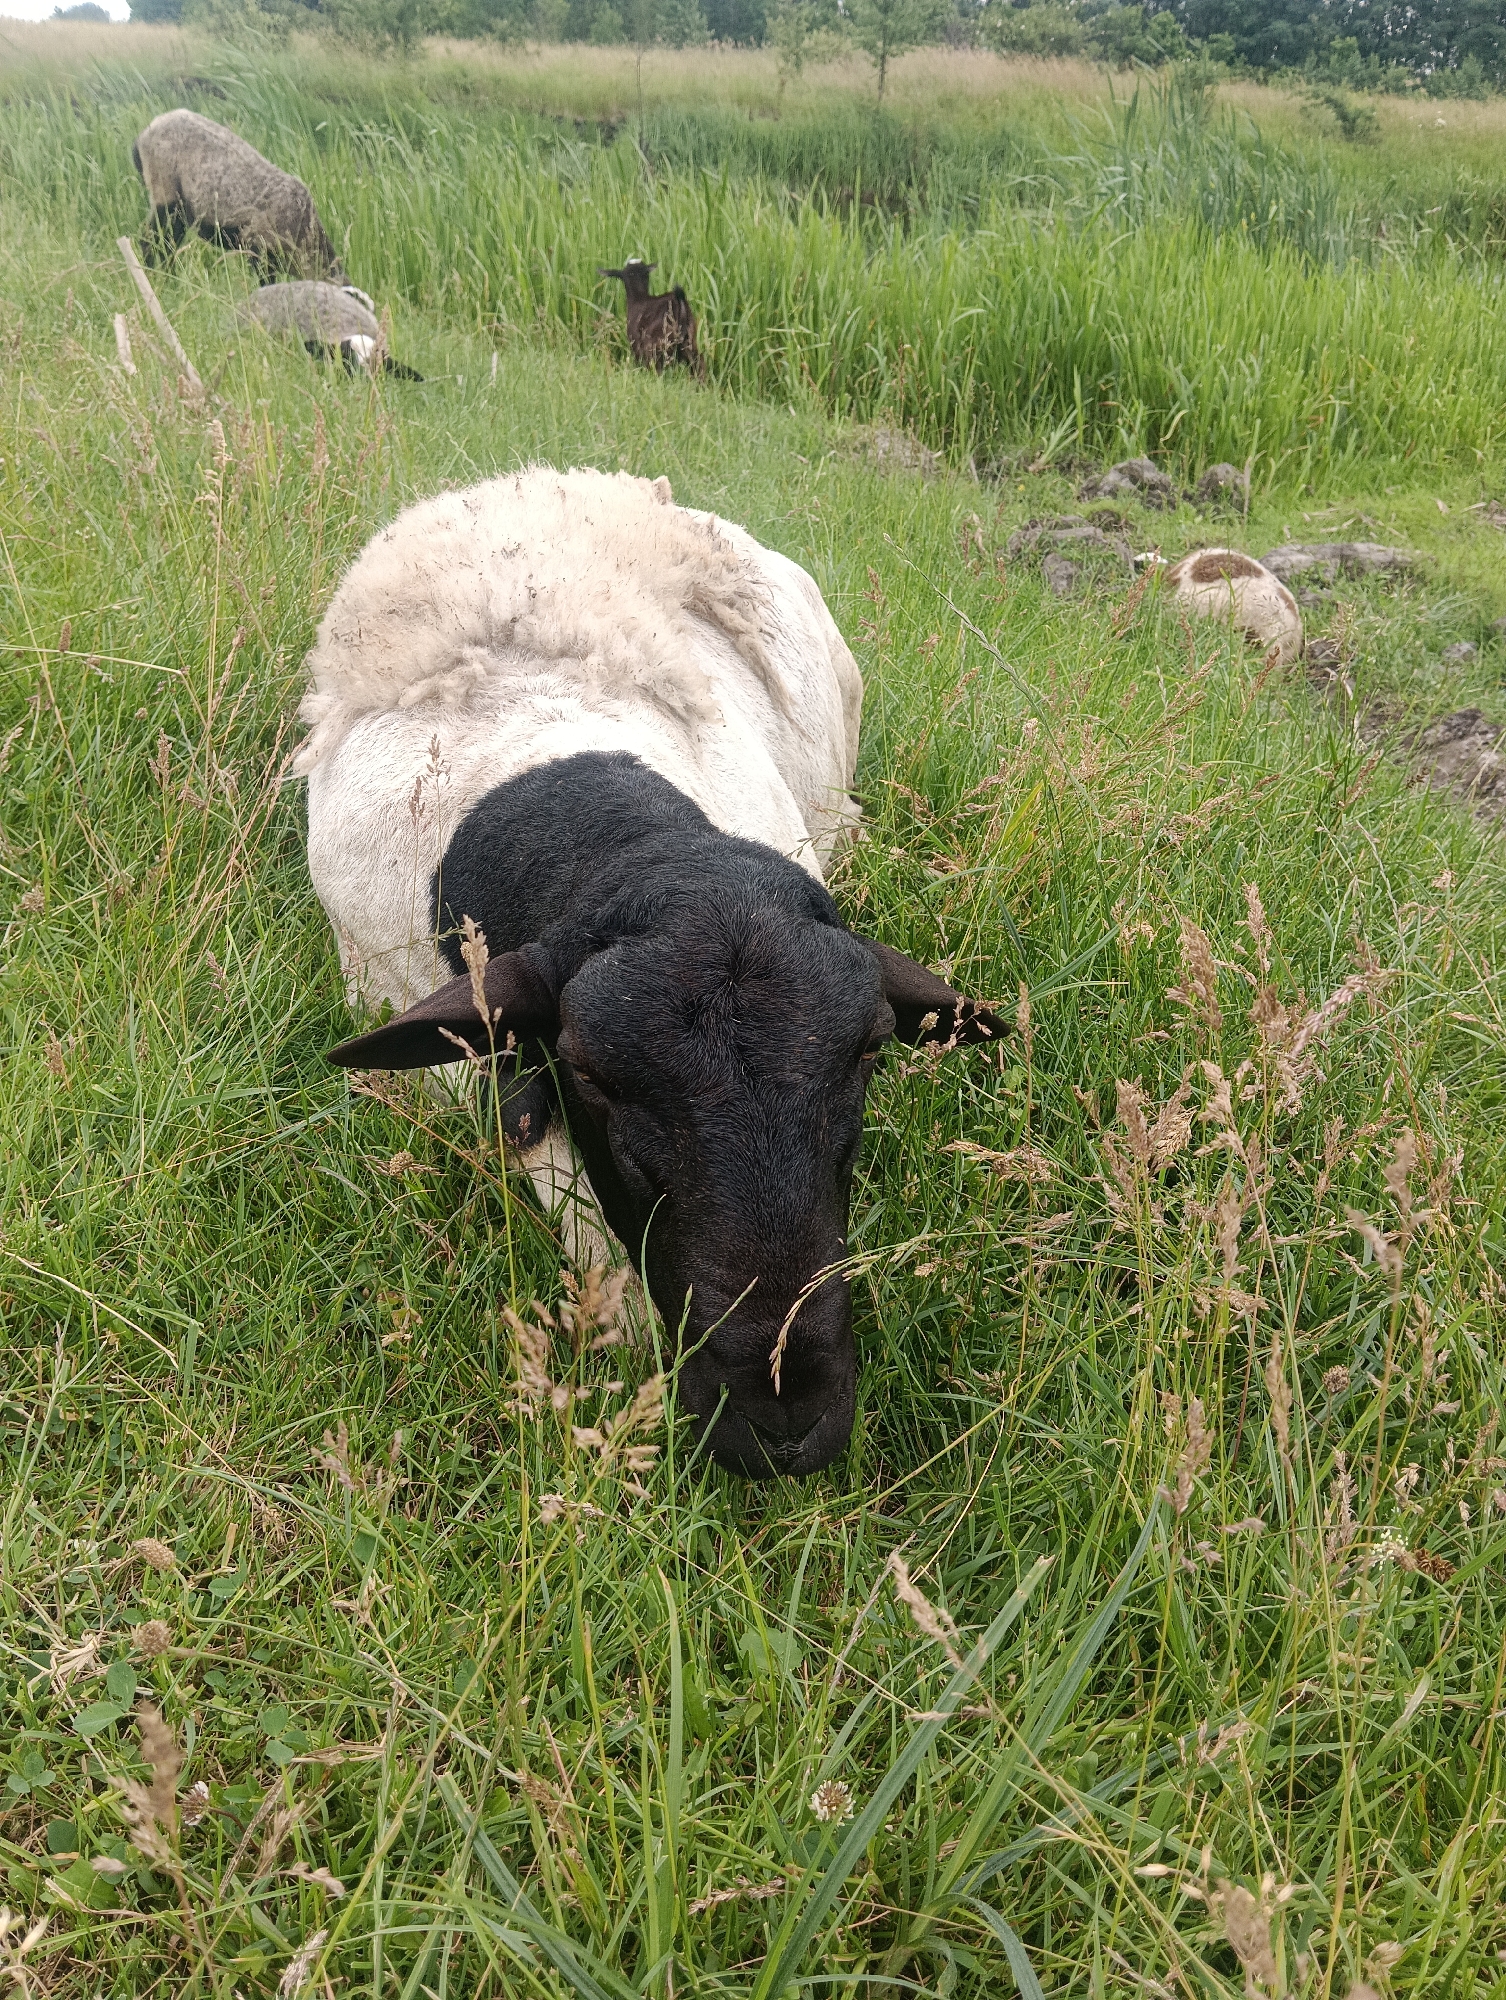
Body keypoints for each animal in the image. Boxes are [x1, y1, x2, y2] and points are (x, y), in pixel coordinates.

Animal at [133, 109, 343, 280]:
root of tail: (143, 135)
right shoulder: (259, 247)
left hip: (181, 210)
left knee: (166, 244)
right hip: (166, 195)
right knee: (153, 242)